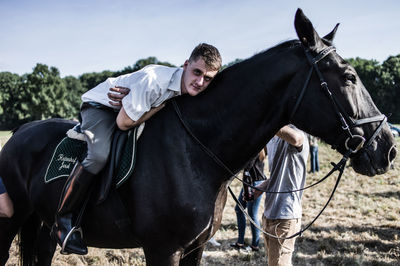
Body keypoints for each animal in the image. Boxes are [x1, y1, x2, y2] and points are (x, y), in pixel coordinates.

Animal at [0, 8, 396, 266]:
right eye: (348, 77)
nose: (387, 148)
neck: (195, 153)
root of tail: (20, 132)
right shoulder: (162, 250)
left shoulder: (194, 247)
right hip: (13, 218)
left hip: (44, 226)